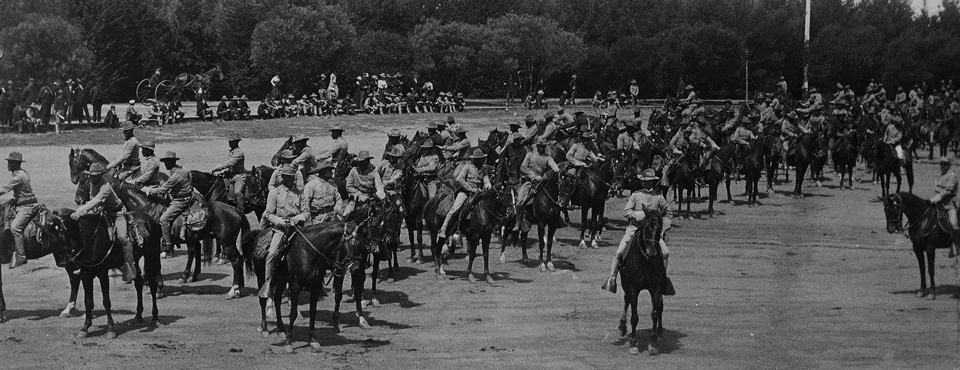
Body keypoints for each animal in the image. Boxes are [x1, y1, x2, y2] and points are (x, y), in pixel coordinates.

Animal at [49, 208, 162, 338]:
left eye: (59, 233)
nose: (62, 262)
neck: (90, 238)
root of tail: (150, 219)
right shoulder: (86, 274)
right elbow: (88, 302)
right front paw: (85, 328)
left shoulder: (102, 273)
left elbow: (106, 301)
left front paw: (110, 329)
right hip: (135, 260)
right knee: (138, 282)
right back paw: (138, 316)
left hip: (152, 256)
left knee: (152, 284)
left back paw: (155, 317)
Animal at [242, 221, 370, 354]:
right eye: (355, 244)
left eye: (364, 246)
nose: (356, 269)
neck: (307, 252)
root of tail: (259, 234)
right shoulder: (295, 287)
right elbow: (293, 313)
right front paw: (288, 343)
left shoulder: (316, 286)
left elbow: (313, 312)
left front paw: (313, 340)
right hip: (261, 277)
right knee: (263, 300)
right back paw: (265, 329)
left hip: (281, 280)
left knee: (277, 299)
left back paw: (281, 329)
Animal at [616, 211, 668, 356]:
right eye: (646, 228)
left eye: (659, 229)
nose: (652, 252)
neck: (645, 260)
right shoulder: (634, 288)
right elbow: (634, 316)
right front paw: (633, 343)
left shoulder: (655, 287)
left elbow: (655, 312)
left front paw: (653, 343)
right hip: (625, 283)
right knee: (626, 299)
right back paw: (622, 326)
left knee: (660, 305)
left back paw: (660, 331)